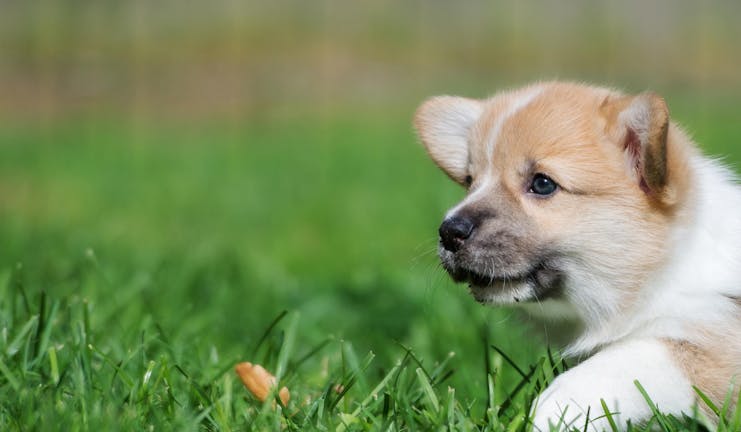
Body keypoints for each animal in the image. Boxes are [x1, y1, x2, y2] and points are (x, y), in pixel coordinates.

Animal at [416, 82, 740, 430]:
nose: (448, 232)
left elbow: (619, 362)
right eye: (470, 181)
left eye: (542, 184)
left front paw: (551, 414)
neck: (667, 269)